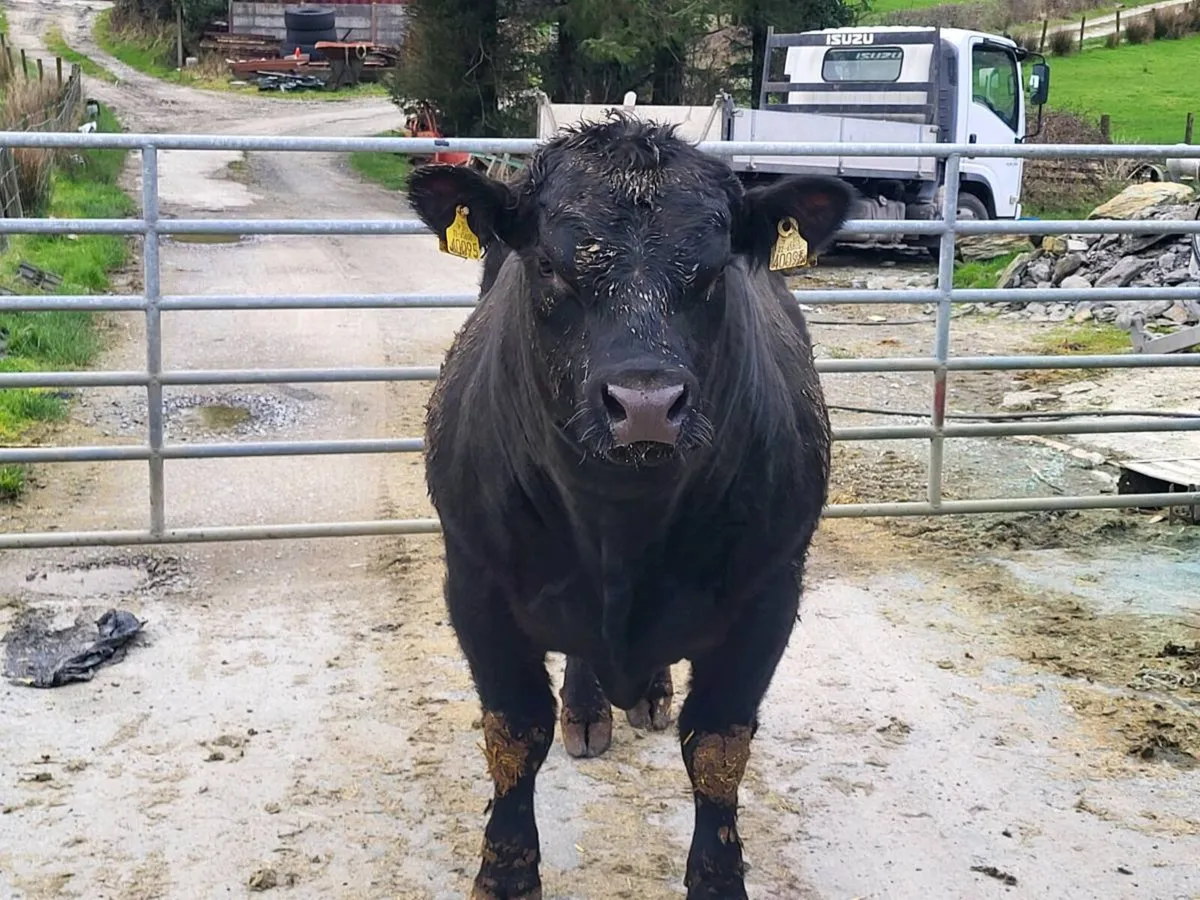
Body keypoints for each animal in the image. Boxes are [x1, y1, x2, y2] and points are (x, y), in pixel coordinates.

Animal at [406, 112, 853, 900]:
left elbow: (718, 748)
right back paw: (588, 711)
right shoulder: (475, 585)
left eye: (714, 270)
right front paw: (504, 874)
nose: (645, 405)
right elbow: (514, 734)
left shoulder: (769, 594)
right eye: (550, 265)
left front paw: (717, 881)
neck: (619, 527)